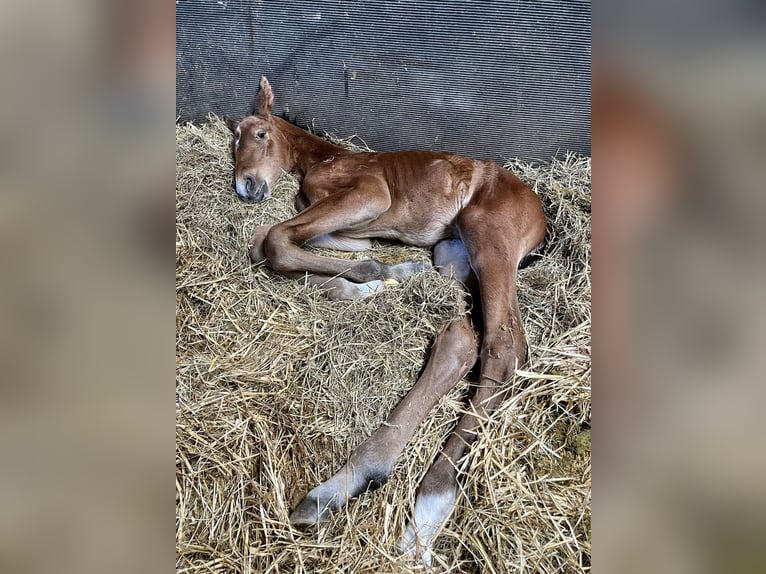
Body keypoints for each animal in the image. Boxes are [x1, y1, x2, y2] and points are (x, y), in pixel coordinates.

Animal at [228, 77, 544, 568]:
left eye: (259, 133)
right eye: (234, 140)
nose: (246, 186)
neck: (324, 159)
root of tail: (541, 212)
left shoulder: (371, 193)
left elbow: (274, 240)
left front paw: (374, 276)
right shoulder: (348, 228)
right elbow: (277, 244)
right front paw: (381, 279)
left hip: (488, 232)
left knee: (502, 346)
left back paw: (413, 501)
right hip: (453, 253)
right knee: (465, 335)